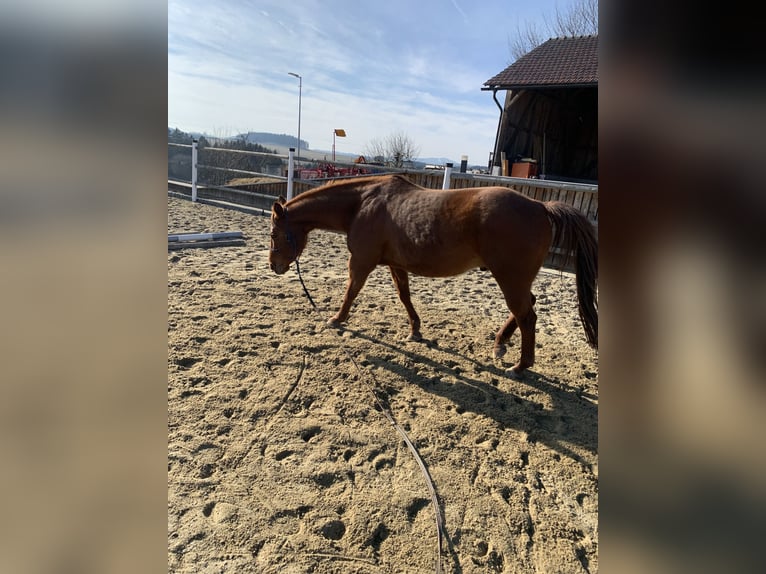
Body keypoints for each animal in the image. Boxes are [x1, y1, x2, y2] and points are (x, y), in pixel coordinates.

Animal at [269, 173, 597, 374]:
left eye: (274, 233)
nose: (275, 266)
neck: (362, 204)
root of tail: (540, 206)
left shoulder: (362, 261)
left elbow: (351, 291)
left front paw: (336, 319)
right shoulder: (395, 264)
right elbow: (404, 296)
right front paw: (415, 330)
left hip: (509, 277)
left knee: (526, 316)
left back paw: (520, 366)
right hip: (515, 278)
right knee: (527, 307)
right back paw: (500, 344)